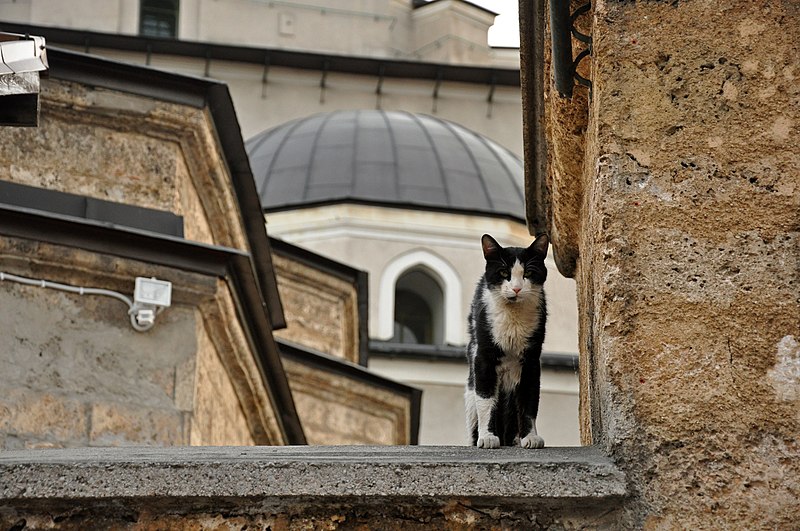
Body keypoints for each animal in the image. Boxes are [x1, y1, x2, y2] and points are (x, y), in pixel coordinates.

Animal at [466, 233, 548, 448]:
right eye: (504, 272)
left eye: (528, 272)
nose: (517, 288)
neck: (513, 318)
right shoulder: (483, 357)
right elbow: (486, 399)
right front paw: (487, 437)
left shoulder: (531, 361)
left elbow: (529, 401)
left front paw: (530, 437)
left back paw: (515, 439)